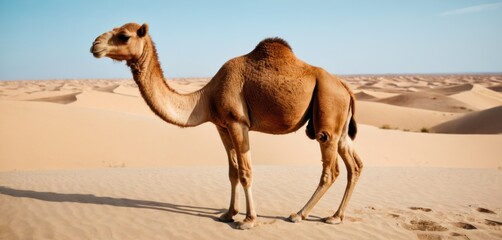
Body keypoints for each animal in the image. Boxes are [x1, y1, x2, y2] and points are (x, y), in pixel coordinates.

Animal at [90, 23, 362, 231]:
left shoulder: (237, 122)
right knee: (355, 165)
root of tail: (345, 88)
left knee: (331, 170)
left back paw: (299, 214)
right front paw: (229, 214)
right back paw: (336, 216)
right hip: (341, 128)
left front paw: (248, 220)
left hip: (327, 116)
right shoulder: (221, 125)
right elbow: (232, 172)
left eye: (124, 35)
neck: (206, 96)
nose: (95, 45)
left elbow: (245, 172)